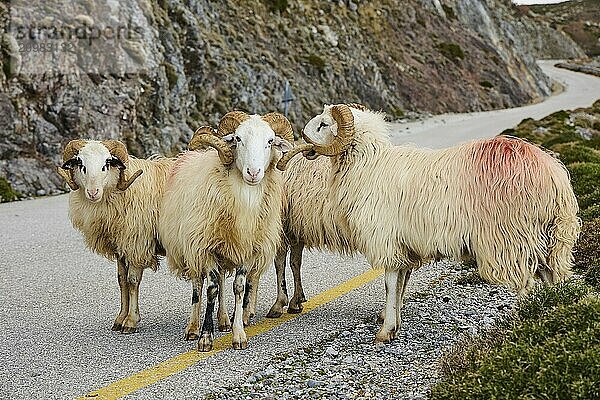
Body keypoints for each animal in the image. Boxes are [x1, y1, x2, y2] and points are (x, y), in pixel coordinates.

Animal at [159, 111, 304, 352]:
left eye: (270, 141)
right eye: (238, 139)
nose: (253, 172)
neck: (246, 197)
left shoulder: (247, 249)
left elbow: (238, 288)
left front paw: (238, 334)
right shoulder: (206, 248)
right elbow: (210, 290)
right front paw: (205, 337)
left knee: (223, 283)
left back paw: (224, 320)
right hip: (191, 247)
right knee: (198, 285)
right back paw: (192, 327)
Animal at [292, 104, 580, 344]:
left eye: (324, 124)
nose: (302, 139)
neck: (366, 166)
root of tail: (553, 176)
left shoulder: (386, 240)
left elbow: (389, 284)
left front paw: (385, 332)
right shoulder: (404, 246)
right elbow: (400, 284)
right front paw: (393, 322)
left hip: (510, 239)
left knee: (525, 285)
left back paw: (521, 326)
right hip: (549, 238)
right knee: (551, 279)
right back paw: (553, 313)